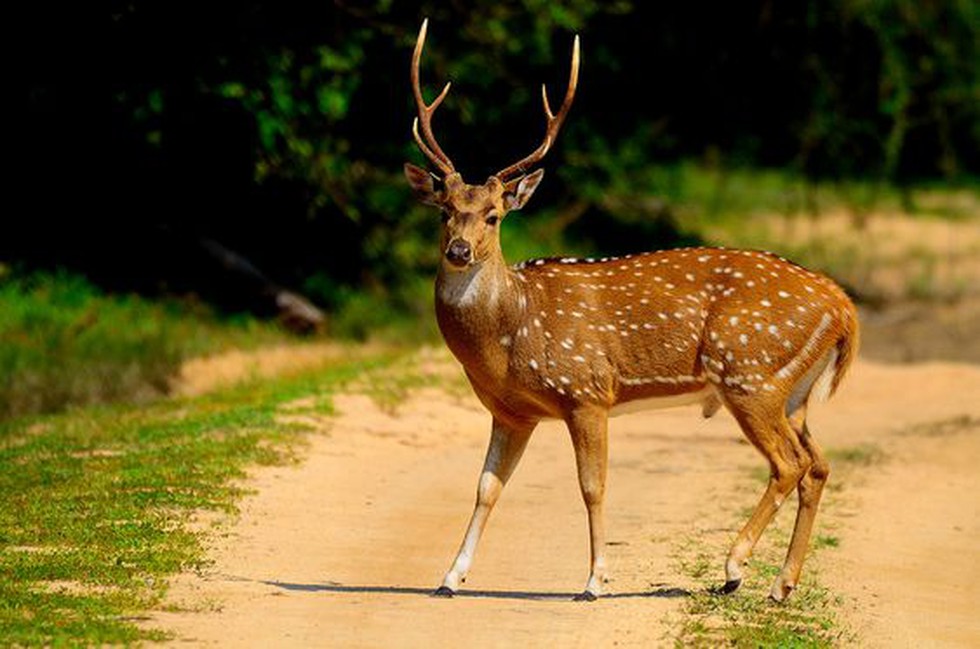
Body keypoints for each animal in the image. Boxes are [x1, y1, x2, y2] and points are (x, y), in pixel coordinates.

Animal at [404, 21, 856, 604]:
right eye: (444, 212)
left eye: (494, 215)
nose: (459, 251)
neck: (510, 337)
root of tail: (842, 304)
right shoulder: (511, 411)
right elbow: (486, 487)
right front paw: (449, 577)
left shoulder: (586, 390)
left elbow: (592, 486)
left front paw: (594, 580)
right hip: (792, 391)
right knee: (817, 464)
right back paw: (781, 584)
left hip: (750, 374)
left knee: (789, 463)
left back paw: (734, 569)